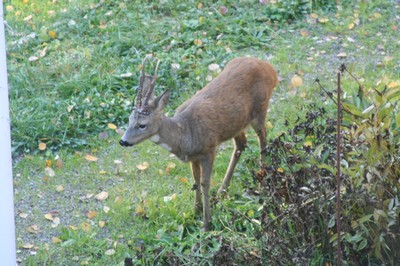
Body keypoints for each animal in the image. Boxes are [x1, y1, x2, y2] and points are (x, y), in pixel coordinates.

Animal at [119, 55, 278, 230]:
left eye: (142, 125)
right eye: (129, 120)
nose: (123, 141)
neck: (186, 134)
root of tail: (270, 69)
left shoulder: (209, 149)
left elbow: (204, 182)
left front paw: (206, 223)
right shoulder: (193, 157)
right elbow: (195, 180)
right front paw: (196, 211)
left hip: (260, 109)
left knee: (263, 140)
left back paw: (261, 186)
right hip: (236, 124)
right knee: (241, 144)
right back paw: (222, 191)